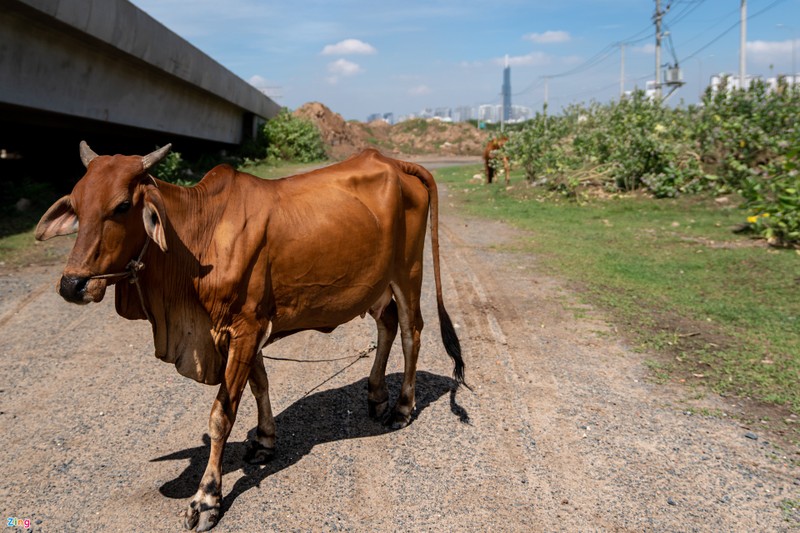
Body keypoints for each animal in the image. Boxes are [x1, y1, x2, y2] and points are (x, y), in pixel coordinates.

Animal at [36, 140, 462, 528]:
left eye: (122, 206)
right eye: (76, 206)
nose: (72, 284)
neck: (196, 238)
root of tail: (395, 162)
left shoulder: (244, 328)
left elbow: (221, 416)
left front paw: (207, 498)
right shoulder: (250, 328)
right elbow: (260, 385)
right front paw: (264, 441)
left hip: (408, 273)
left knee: (411, 332)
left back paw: (402, 408)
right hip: (376, 285)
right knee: (386, 324)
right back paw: (376, 395)